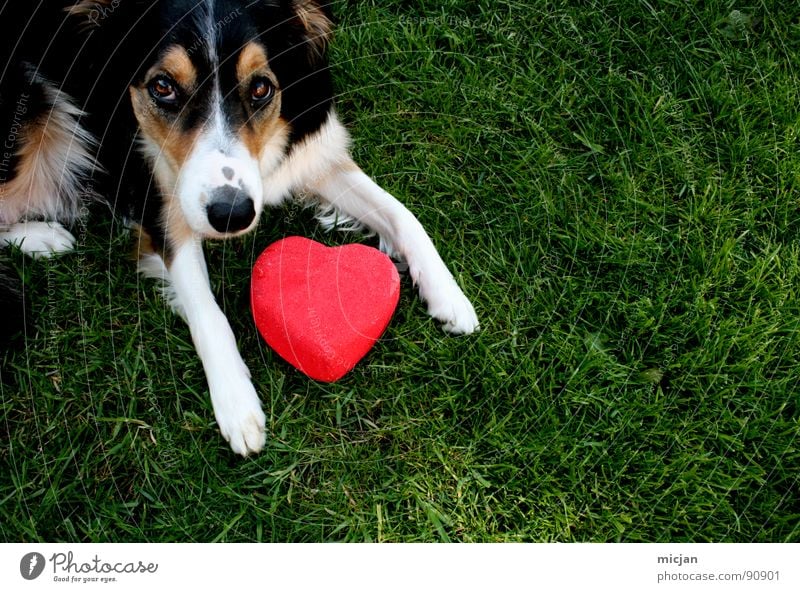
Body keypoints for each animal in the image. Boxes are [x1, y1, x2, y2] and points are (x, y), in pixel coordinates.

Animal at [0, 0, 478, 456]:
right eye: (162, 87)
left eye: (261, 88)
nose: (231, 214)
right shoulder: (160, 202)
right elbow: (206, 309)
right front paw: (237, 405)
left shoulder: (310, 155)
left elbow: (403, 214)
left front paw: (448, 295)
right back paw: (41, 237)